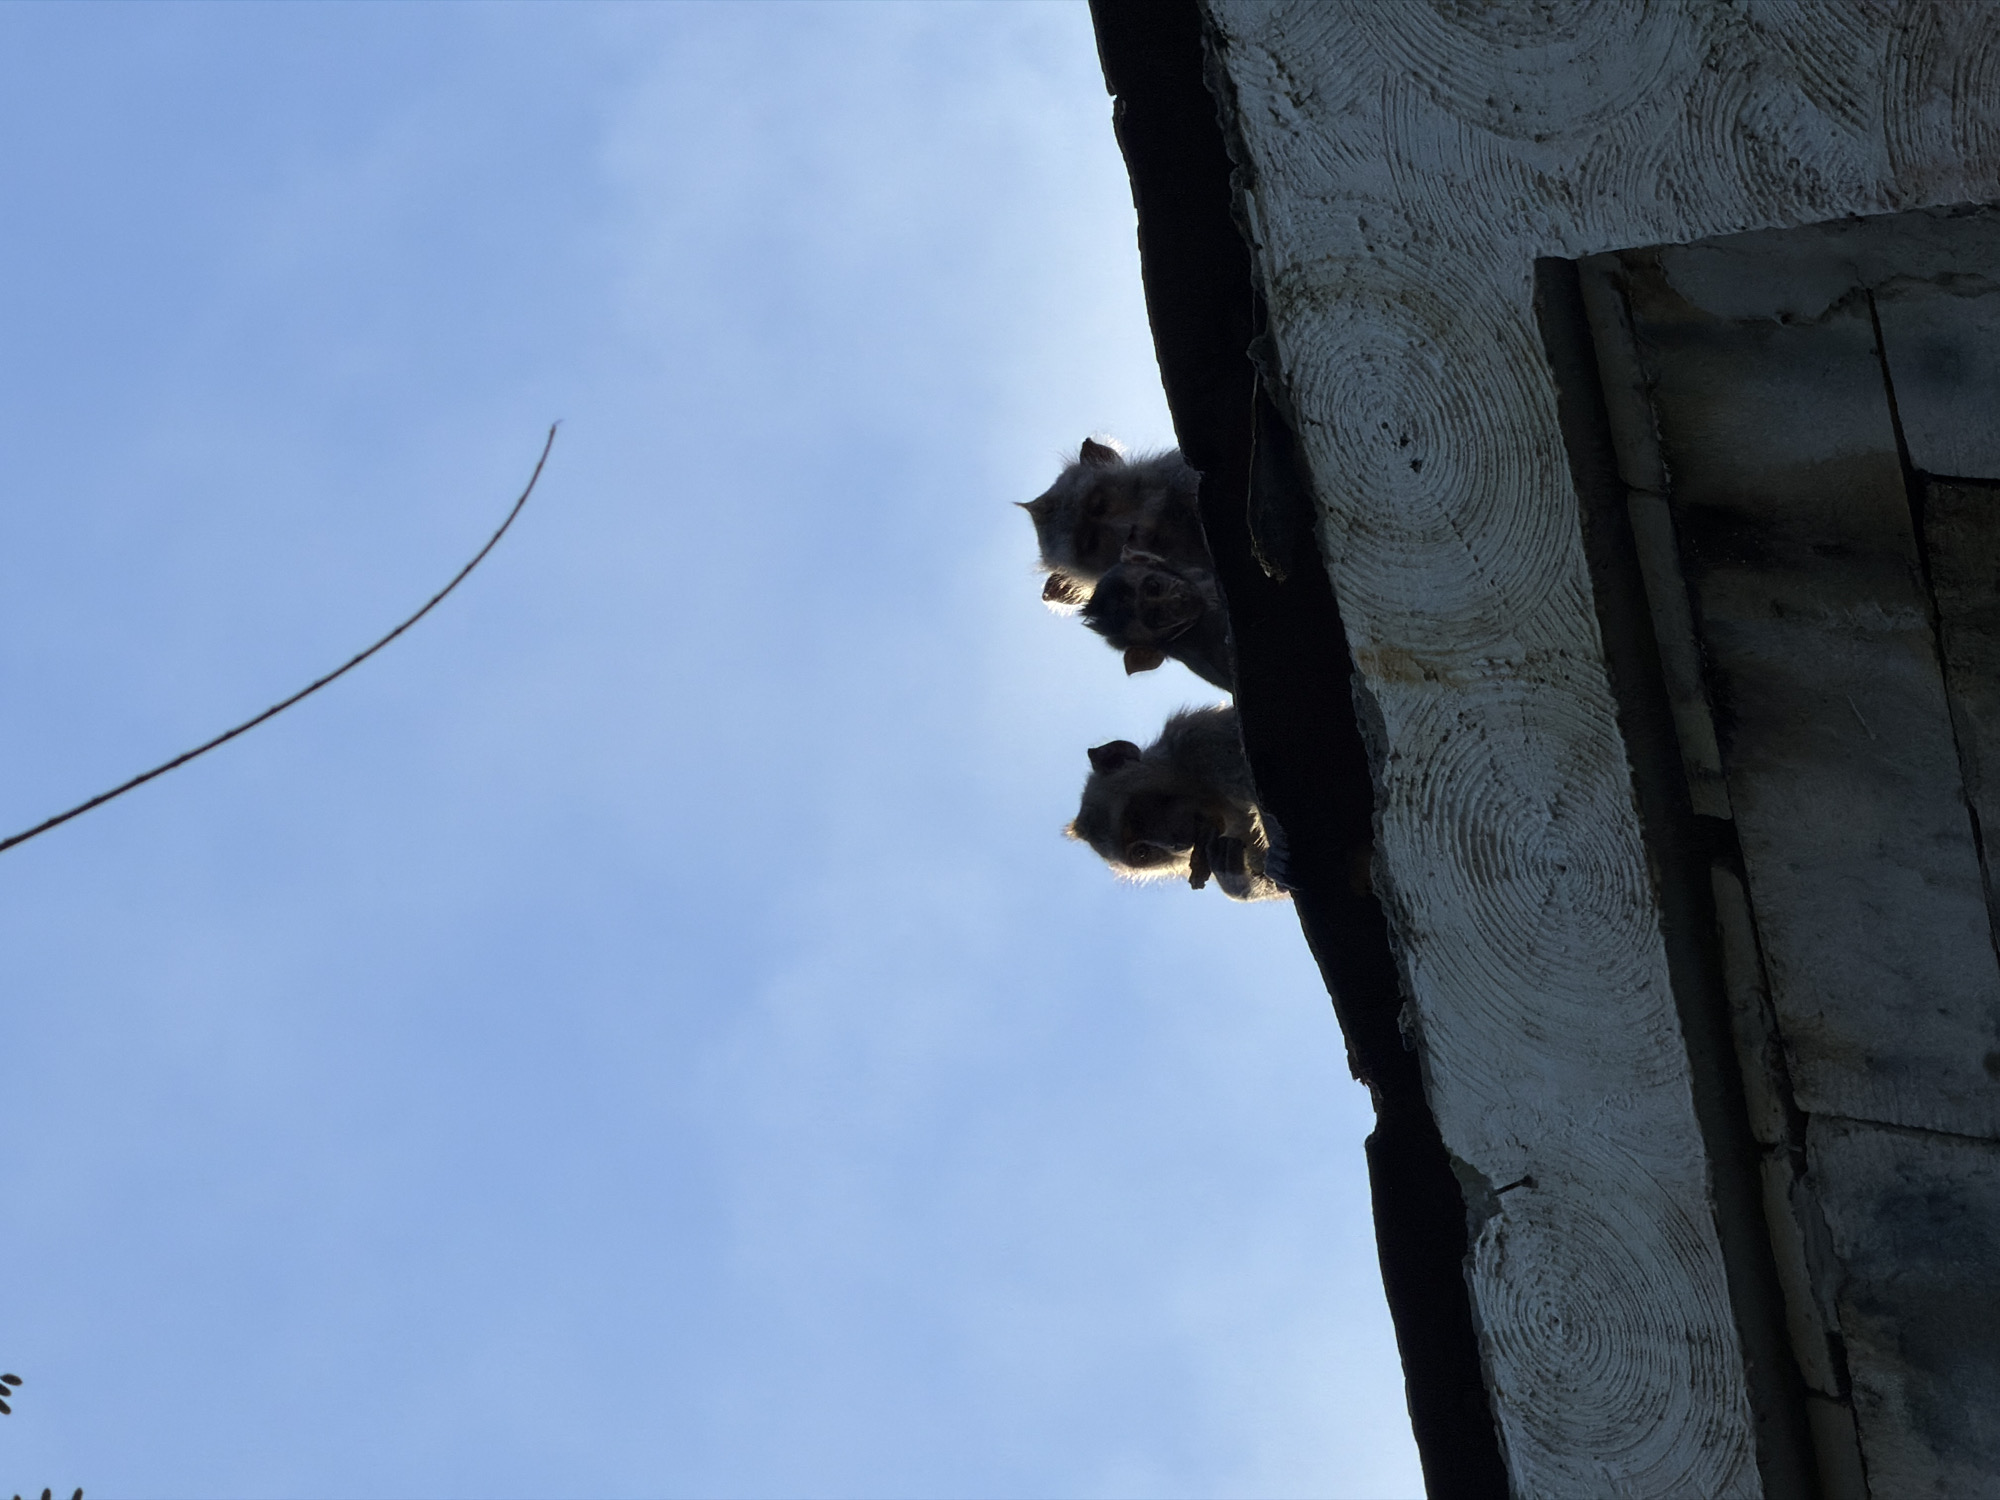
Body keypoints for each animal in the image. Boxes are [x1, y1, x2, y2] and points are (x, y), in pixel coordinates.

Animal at [1066, 705, 1285, 901]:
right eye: (1142, 853)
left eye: (1139, 814)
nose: (1176, 846)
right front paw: (1236, 881)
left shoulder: (1203, 741)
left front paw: (1279, 857)